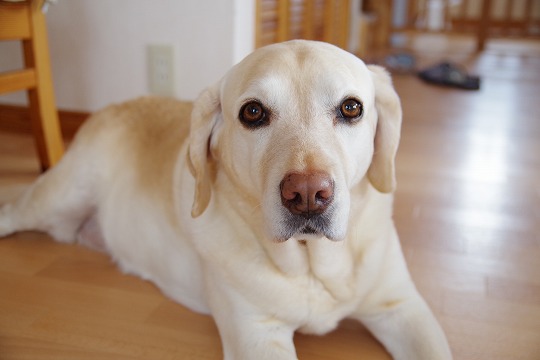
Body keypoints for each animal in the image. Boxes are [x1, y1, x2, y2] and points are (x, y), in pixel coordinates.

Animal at [0, 40, 452, 358]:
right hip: (58, 196)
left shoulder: (403, 307)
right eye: (253, 113)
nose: (308, 194)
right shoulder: (256, 334)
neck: (310, 265)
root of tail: (109, 107)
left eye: (352, 108)